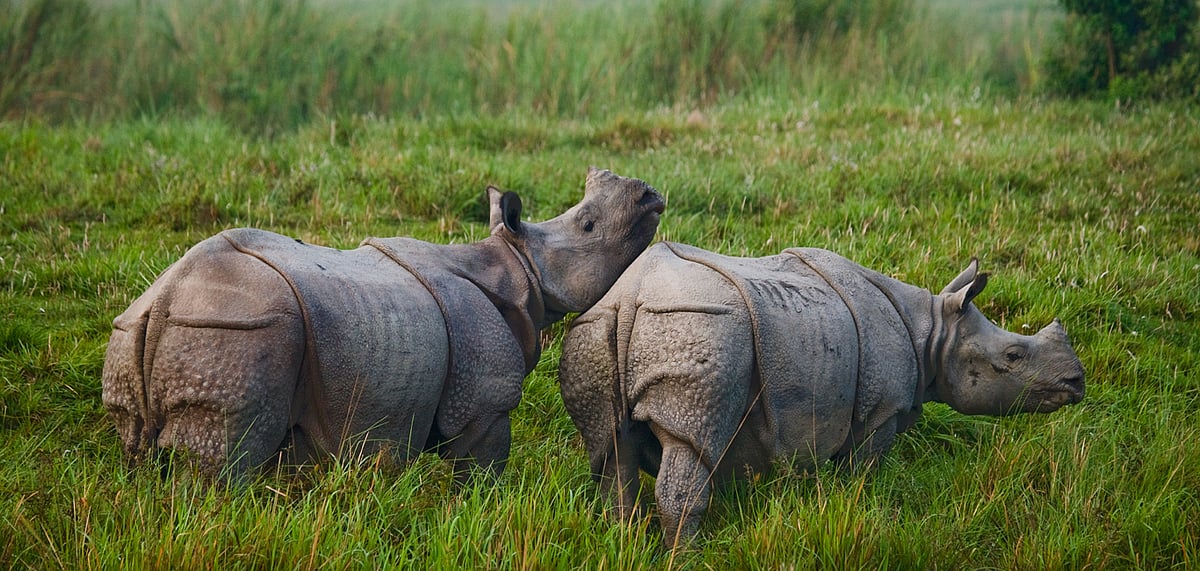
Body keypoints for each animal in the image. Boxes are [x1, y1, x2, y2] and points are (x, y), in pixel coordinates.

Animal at [102, 167, 665, 479]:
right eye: (588, 225)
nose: (650, 194)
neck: (518, 264)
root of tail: (165, 296)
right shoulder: (483, 401)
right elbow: (482, 470)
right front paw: (477, 513)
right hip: (238, 328)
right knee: (226, 462)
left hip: (142, 332)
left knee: (139, 455)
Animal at [559, 241, 1086, 545]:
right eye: (1013, 356)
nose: (1076, 383)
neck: (933, 332)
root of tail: (631, 295)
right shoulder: (881, 410)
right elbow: (866, 469)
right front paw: (865, 505)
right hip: (701, 326)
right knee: (693, 444)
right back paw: (688, 556)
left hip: (597, 329)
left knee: (611, 448)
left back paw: (622, 541)